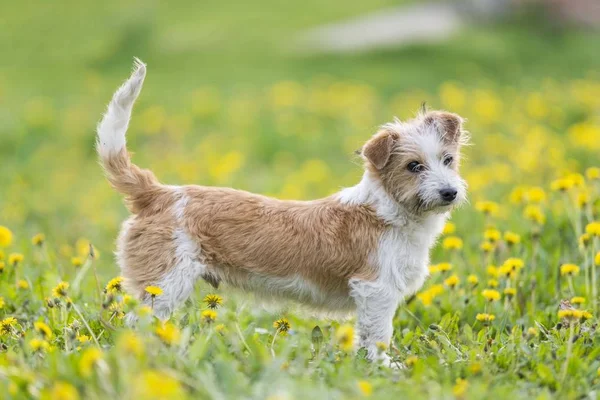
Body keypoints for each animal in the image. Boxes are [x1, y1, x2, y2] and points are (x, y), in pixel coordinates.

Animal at [96, 59, 468, 366]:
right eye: (413, 166)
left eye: (448, 160)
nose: (449, 192)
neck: (387, 211)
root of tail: (157, 192)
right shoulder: (375, 291)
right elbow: (378, 336)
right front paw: (384, 368)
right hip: (164, 284)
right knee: (135, 324)